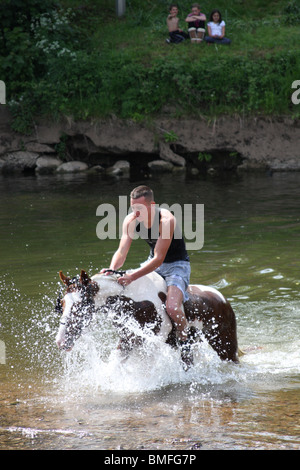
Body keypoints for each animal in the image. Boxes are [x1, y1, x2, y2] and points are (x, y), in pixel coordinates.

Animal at [55, 270, 239, 366]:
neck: (135, 302)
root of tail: (222, 299)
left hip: (224, 344)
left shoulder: (150, 344)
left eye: (80, 306)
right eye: (63, 304)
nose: (60, 341)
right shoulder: (128, 339)